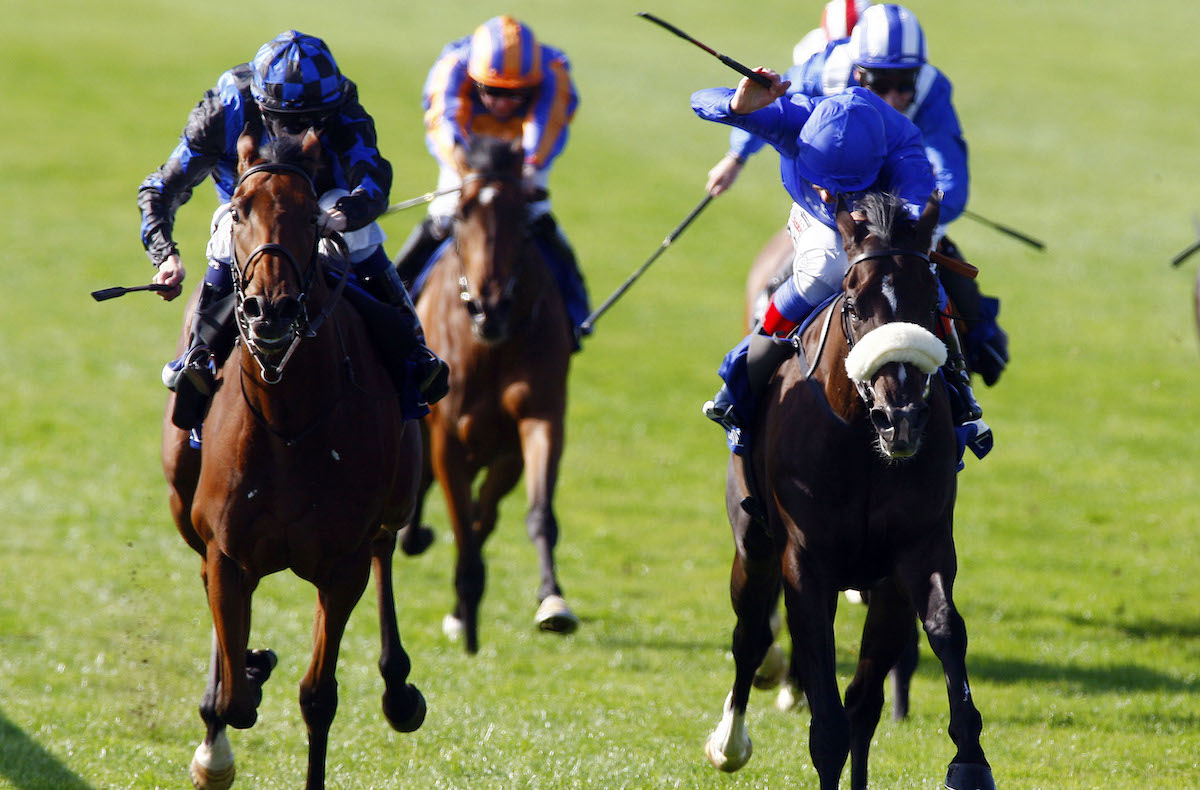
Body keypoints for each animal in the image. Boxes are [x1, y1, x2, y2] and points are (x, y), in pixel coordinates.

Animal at [162, 132, 427, 782]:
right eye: (238, 212)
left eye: (312, 217)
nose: (271, 310)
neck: (287, 423)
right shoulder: (227, 552)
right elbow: (234, 696)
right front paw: (237, 694)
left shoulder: (342, 565)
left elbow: (318, 696)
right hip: (182, 498)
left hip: (397, 500)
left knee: (386, 549)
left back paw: (399, 690)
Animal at [405, 135, 578, 653]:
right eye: (462, 213)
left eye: (523, 216)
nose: (490, 307)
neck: (489, 346)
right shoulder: (446, 438)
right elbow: (461, 529)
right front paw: (467, 619)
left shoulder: (537, 420)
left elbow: (535, 515)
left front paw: (553, 601)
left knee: (486, 515)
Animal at [705, 192, 998, 787]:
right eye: (856, 306)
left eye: (932, 306)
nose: (900, 418)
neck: (863, 447)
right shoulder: (805, 563)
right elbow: (828, 723)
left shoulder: (915, 554)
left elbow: (942, 631)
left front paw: (970, 757)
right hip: (753, 543)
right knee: (749, 635)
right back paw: (730, 741)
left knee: (863, 697)